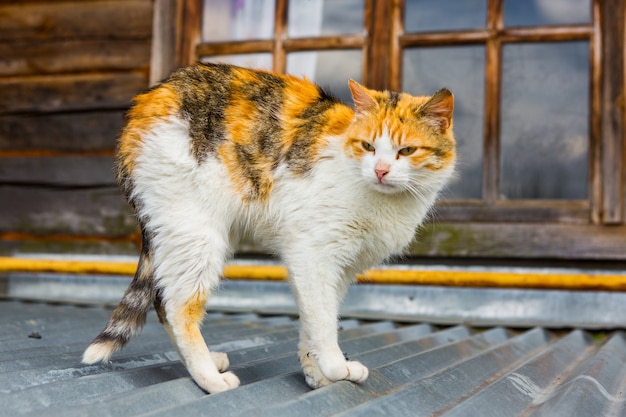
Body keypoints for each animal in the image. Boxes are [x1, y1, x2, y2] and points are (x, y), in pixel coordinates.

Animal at [83, 60, 454, 392]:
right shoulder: (312, 255)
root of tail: (145, 102)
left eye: (407, 150)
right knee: (177, 307)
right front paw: (336, 367)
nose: (380, 170)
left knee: (161, 299)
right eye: (368, 146)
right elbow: (323, 320)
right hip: (197, 233)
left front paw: (317, 375)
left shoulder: (338, 269)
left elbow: (315, 319)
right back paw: (210, 379)